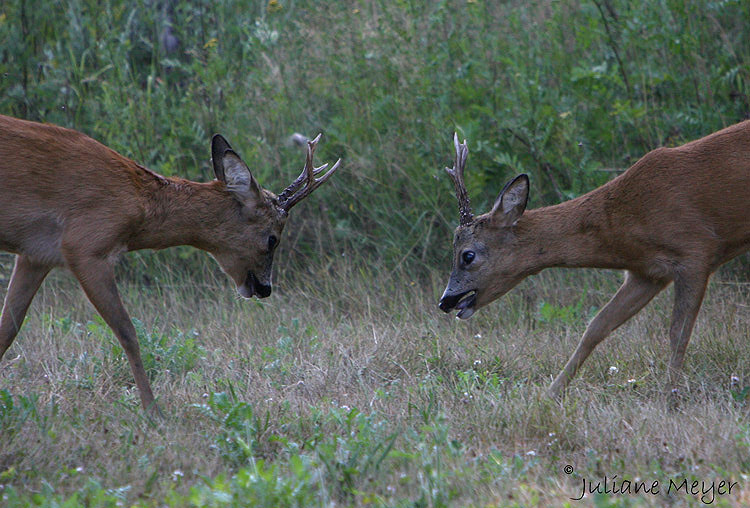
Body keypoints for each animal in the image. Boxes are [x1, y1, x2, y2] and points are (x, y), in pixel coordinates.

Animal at [0, 115, 340, 412]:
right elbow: (128, 332)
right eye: (273, 239)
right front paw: (154, 412)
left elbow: (8, 328)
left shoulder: (35, 255)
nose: (265, 287)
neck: (138, 204)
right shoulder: (85, 246)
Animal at [438, 122, 750, 396]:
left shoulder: (696, 251)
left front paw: (669, 395)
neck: (625, 221)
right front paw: (551, 393)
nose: (445, 301)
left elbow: (678, 333)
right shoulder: (646, 273)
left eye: (467, 255)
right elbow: (596, 327)